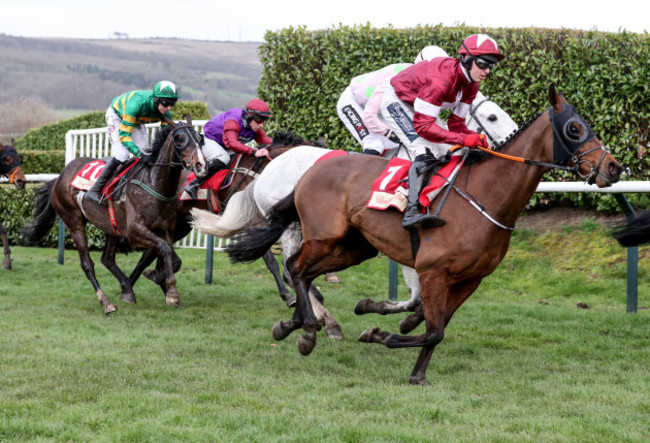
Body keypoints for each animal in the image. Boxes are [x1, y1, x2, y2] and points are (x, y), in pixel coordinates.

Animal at [21, 116, 206, 314]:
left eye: (200, 138)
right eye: (179, 139)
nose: (202, 165)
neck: (153, 182)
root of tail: (59, 177)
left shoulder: (164, 229)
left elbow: (173, 257)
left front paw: (157, 278)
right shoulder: (134, 232)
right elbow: (164, 249)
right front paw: (170, 292)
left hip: (110, 226)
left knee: (107, 258)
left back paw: (126, 288)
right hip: (73, 221)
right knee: (87, 264)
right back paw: (107, 303)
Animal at [128, 131, 324, 308]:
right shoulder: (252, 223)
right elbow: (271, 261)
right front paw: (290, 295)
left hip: (181, 224)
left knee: (151, 252)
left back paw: (140, 282)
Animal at [189, 93, 516, 336]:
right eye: (492, 117)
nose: (512, 140)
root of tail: (269, 168)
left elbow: (415, 296)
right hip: (295, 227)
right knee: (290, 268)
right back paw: (323, 319)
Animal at [225, 86, 620, 386]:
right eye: (574, 128)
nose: (614, 167)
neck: (483, 194)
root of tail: (308, 169)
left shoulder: (469, 279)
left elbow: (435, 325)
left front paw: (413, 369)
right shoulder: (432, 269)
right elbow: (432, 327)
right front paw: (382, 335)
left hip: (354, 247)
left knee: (302, 272)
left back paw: (297, 326)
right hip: (323, 236)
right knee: (295, 269)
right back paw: (309, 328)